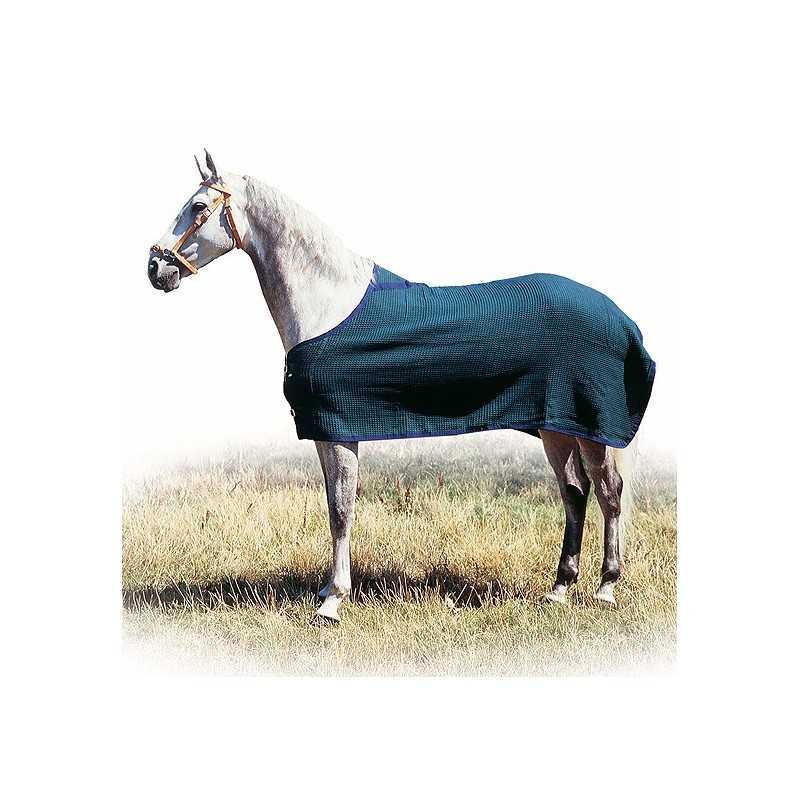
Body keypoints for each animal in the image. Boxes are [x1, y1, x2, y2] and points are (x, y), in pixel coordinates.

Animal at [148, 150, 654, 622]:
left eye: (197, 207)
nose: (156, 269)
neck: (327, 304)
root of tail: (621, 318)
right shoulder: (326, 432)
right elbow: (334, 505)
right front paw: (327, 589)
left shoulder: (340, 429)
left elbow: (341, 509)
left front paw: (333, 601)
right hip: (555, 427)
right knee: (575, 493)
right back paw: (559, 589)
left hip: (588, 430)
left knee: (608, 493)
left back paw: (606, 588)